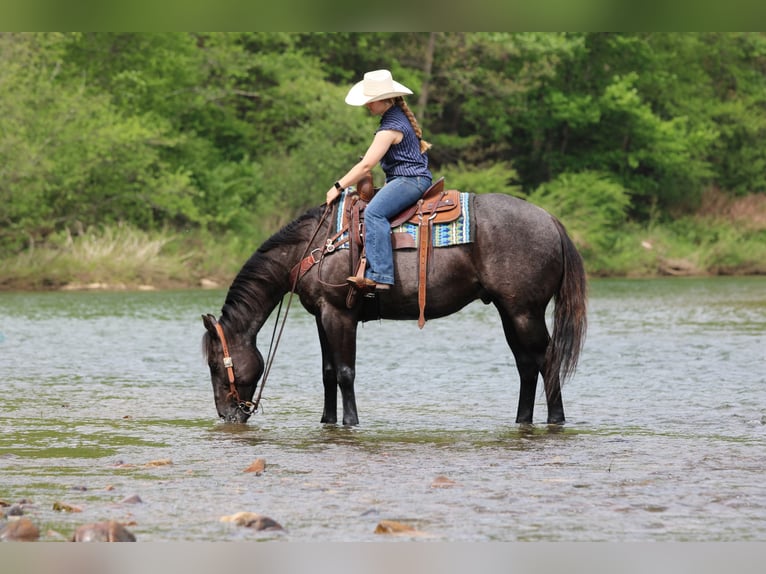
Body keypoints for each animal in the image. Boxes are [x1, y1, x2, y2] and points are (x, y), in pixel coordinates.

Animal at [202, 191, 587, 426]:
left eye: (215, 364)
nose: (227, 415)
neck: (315, 247)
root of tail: (551, 221)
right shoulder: (322, 316)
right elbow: (328, 372)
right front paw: (327, 421)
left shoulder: (340, 315)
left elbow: (345, 372)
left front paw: (351, 422)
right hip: (511, 312)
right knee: (527, 364)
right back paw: (522, 419)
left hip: (525, 312)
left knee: (546, 359)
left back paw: (555, 419)